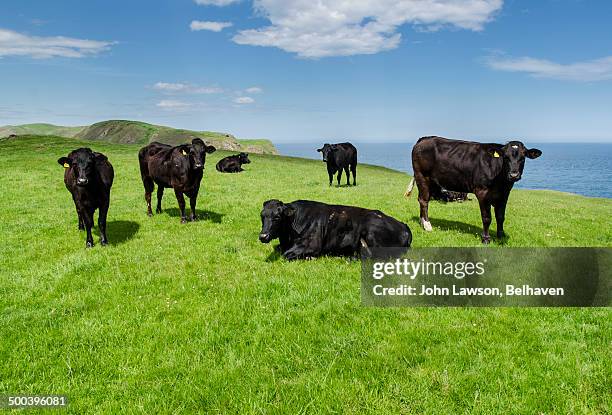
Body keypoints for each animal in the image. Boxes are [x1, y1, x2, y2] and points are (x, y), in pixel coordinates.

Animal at [258, 198, 412, 260]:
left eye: (277, 217)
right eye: (262, 215)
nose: (263, 236)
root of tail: (403, 225)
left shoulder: (312, 245)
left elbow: (286, 254)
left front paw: (309, 257)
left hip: (372, 230)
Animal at [406, 136, 540, 244]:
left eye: (523, 158)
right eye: (506, 157)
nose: (513, 175)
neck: (501, 181)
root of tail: (425, 139)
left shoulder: (504, 194)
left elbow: (500, 216)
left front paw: (501, 235)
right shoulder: (482, 192)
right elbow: (487, 218)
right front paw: (486, 238)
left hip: (432, 181)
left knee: (422, 199)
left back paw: (422, 222)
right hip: (422, 176)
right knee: (424, 201)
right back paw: (428, 225)